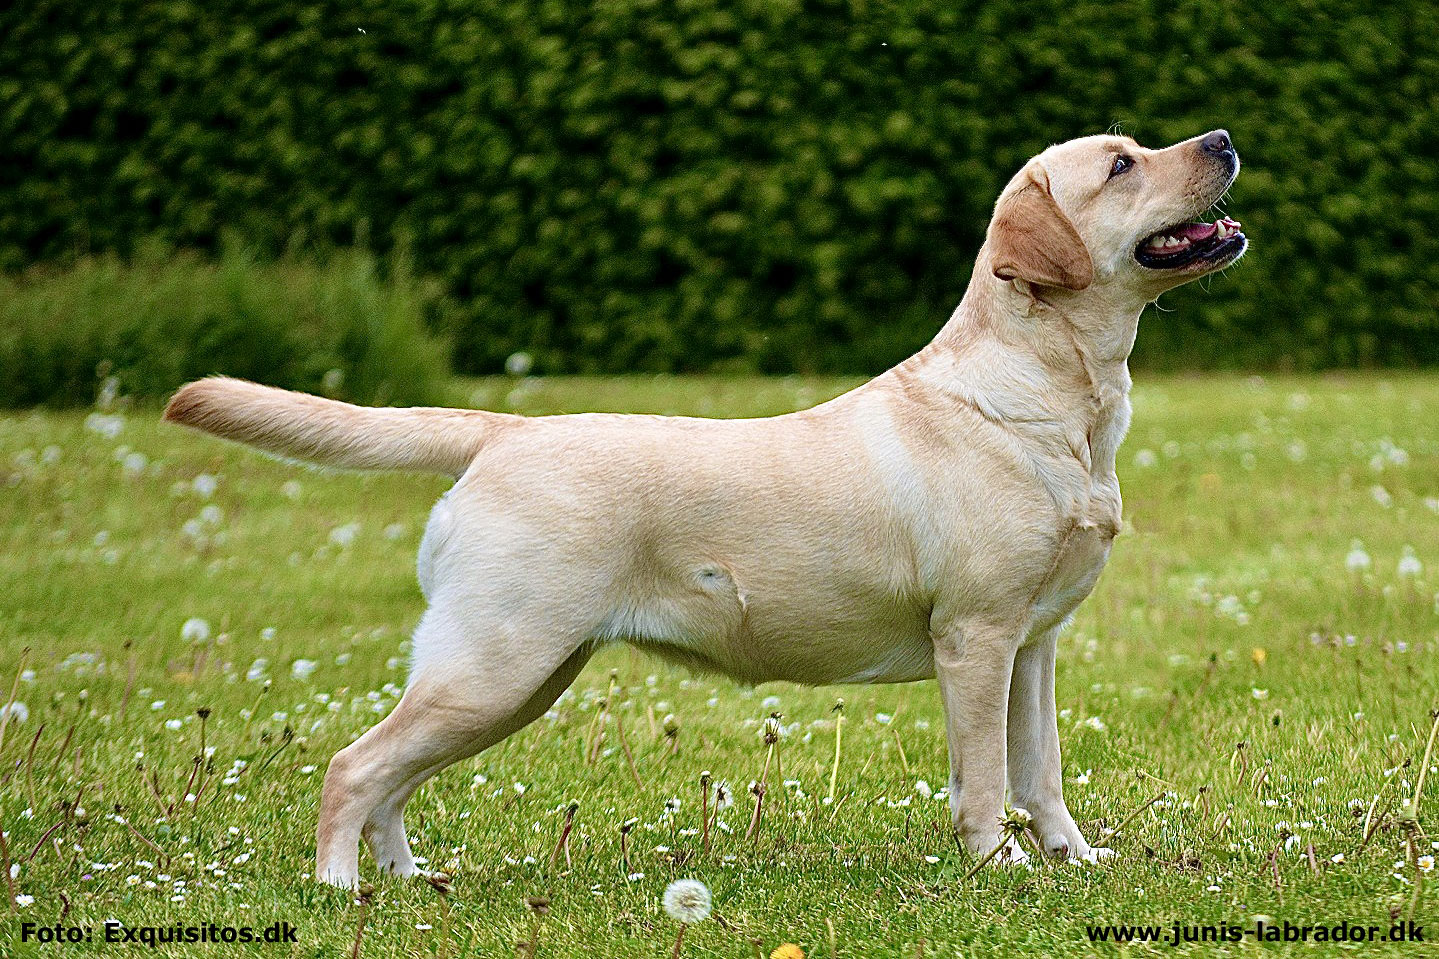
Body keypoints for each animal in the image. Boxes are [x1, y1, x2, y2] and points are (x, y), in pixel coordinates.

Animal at [163, 126, 1249, 881]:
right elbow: (983, 776)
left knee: (394, 774)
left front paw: (1072, 858)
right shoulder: (975, 636)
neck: (1059, 400)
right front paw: (996, 864)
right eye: (1121, 166)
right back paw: (340, 887)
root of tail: (503, 429)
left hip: (517, 675)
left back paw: (404, 876)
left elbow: (1041, 768)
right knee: (356, 764)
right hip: (495, 662)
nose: (1223, 138)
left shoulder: (1033, 642)